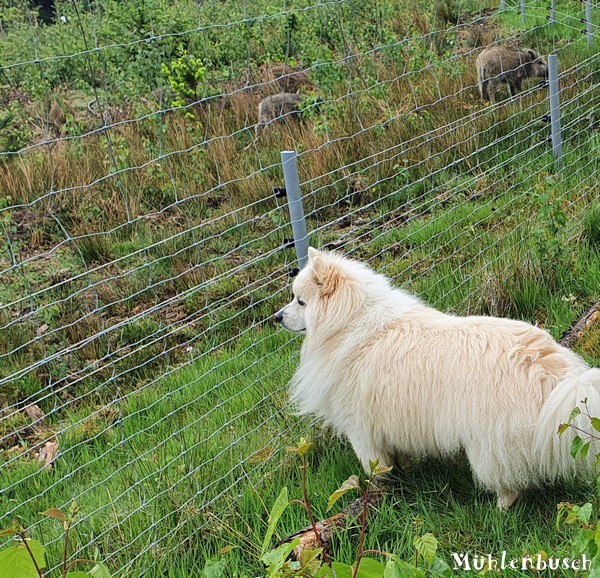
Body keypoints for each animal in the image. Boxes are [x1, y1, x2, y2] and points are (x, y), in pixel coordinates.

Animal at [276, 245, 600, 506]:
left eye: (300, 301)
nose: (277, 317)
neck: (350, 322)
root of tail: (546, 369)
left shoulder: (360, 430)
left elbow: (373, 469)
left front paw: (375, 492)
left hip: (487, 445)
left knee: (509, 485)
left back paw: (498, 510)